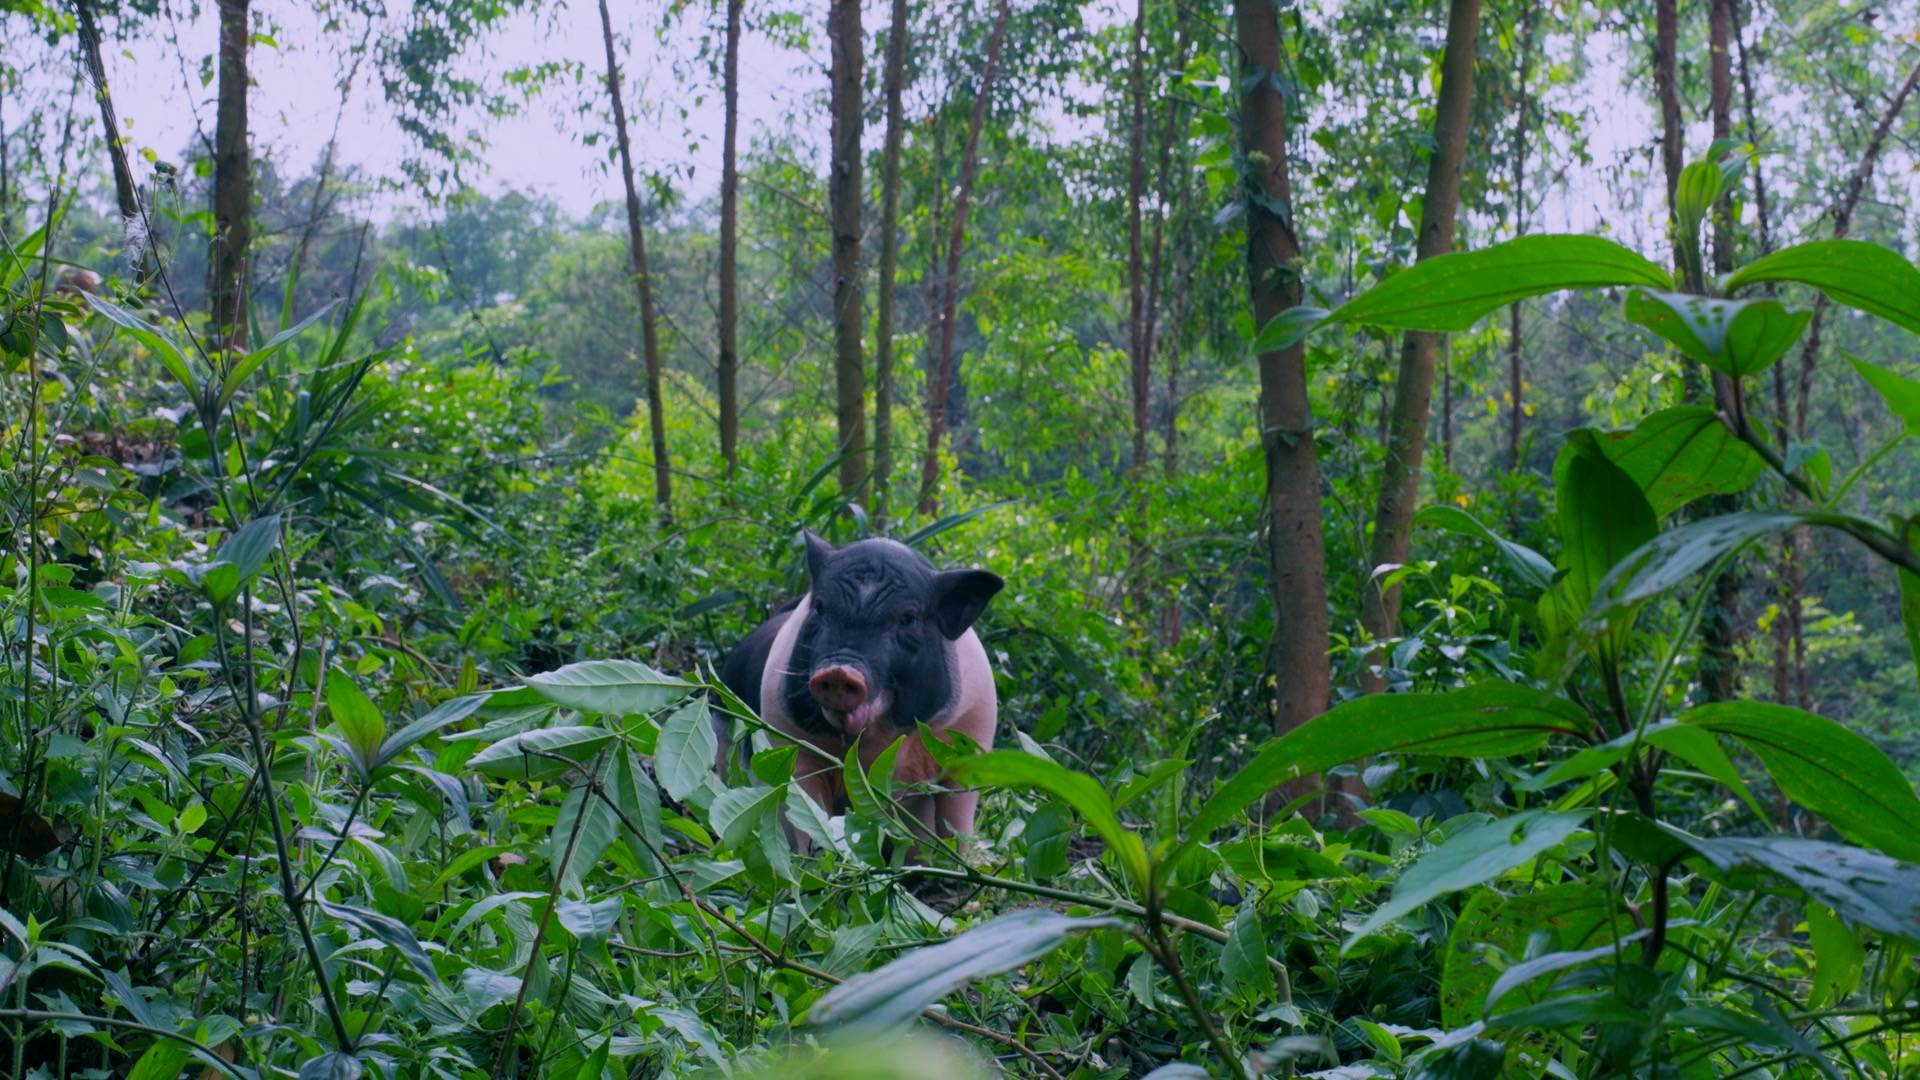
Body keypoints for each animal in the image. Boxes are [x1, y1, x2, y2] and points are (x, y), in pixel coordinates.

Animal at [721, 530, 1006, 834]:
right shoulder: (785, 736)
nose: (838, 671)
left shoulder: (972, 736)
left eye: (908, 618)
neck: (872, 744)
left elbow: (955, 822)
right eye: (820, 607)